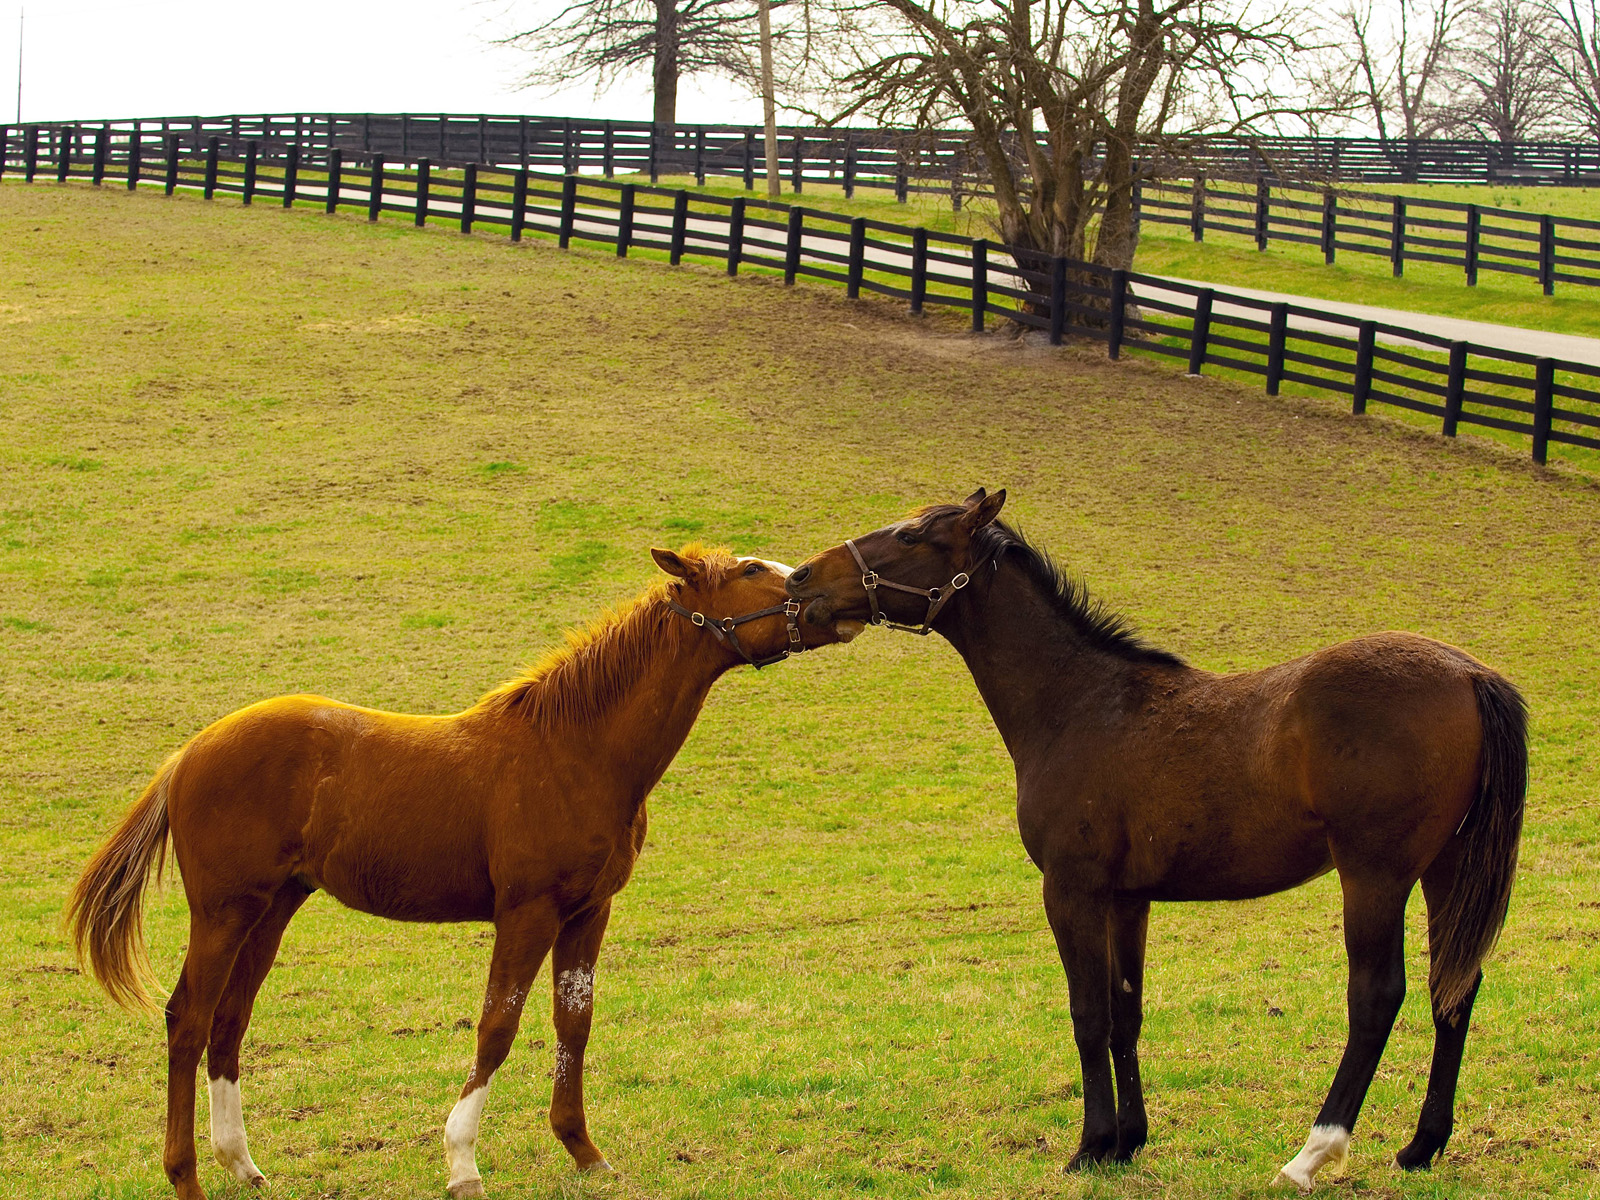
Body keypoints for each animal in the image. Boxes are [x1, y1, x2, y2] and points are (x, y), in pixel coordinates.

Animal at [69, 544, 860, 1200]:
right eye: (753, 570)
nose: (832, 598)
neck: (575, 749)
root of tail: (190, 753)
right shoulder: (527, 912)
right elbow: (498, 1026)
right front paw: (462, 1164)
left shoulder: (589, 911)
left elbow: (574, 1022)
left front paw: (585, 1151)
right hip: (224, 911)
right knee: (189, 1019)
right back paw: (187, 1178)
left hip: (273, 908)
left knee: (230, 1020)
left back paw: (242, 1165)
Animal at [785, 490, 1527, 1191]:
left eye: (912, 535)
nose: (800, 578)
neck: (1078, 702)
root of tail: (1470, 674)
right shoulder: (1127, 899)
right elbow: (1125, 1012)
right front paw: (1127, 1140)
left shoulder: (1072, 891)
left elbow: (1088, 1013)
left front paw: (1090, 1146)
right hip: (1445, 870)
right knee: (1453, 987)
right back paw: (1421, 1147)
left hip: (1375, 877)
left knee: (1377, 997)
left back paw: (1310, 1155)